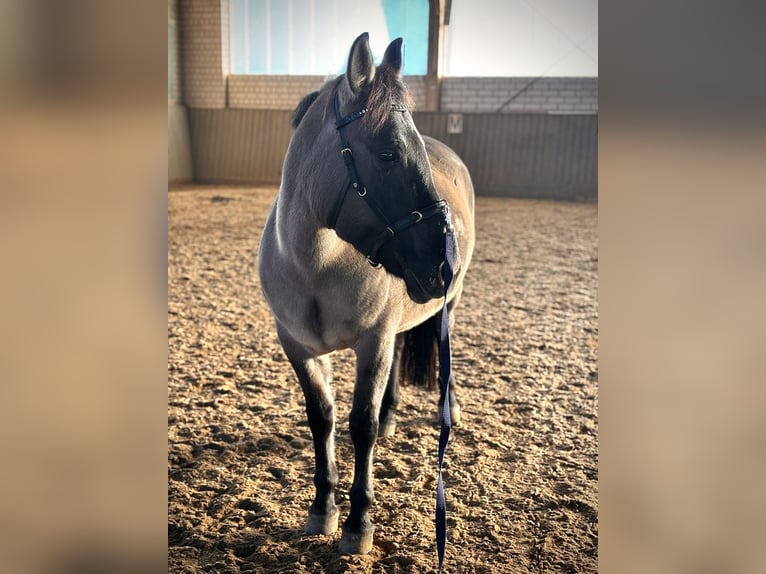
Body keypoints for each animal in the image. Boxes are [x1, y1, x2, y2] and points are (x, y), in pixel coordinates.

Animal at [258, 33, 474, 556]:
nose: (443, 263)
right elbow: (322, 418)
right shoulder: (297, 347)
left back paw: (449, 407)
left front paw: (358, 523)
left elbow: (362, 425)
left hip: (450, 307)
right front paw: (323, 508)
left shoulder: (371, 344)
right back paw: (395, 414)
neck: (316, 267)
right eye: (389, 153)